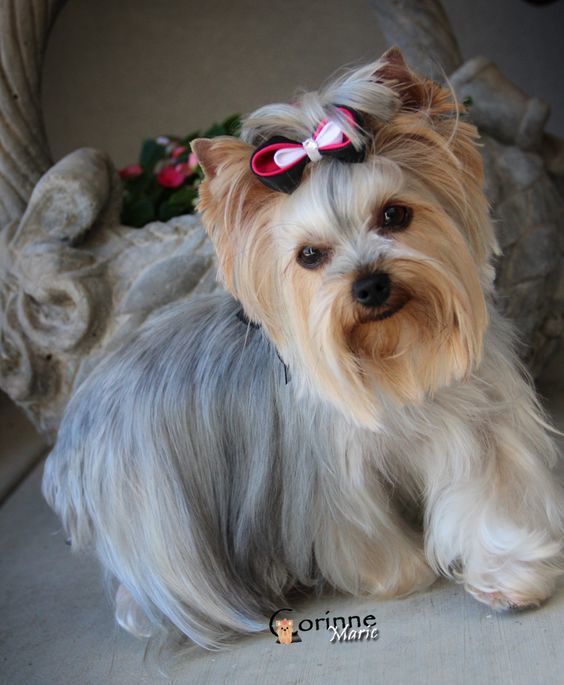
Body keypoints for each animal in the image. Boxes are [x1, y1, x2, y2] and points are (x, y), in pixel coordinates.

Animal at [43, 48, 564, 648]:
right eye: (309, 255)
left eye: (394, 214)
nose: (370, 285)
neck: (396, 353)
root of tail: (73, 427)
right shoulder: (330, 474)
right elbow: (361, 533)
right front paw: (401, 574)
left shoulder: (476, 421)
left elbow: (488, 491)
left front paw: (509, 577)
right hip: (158, 515)